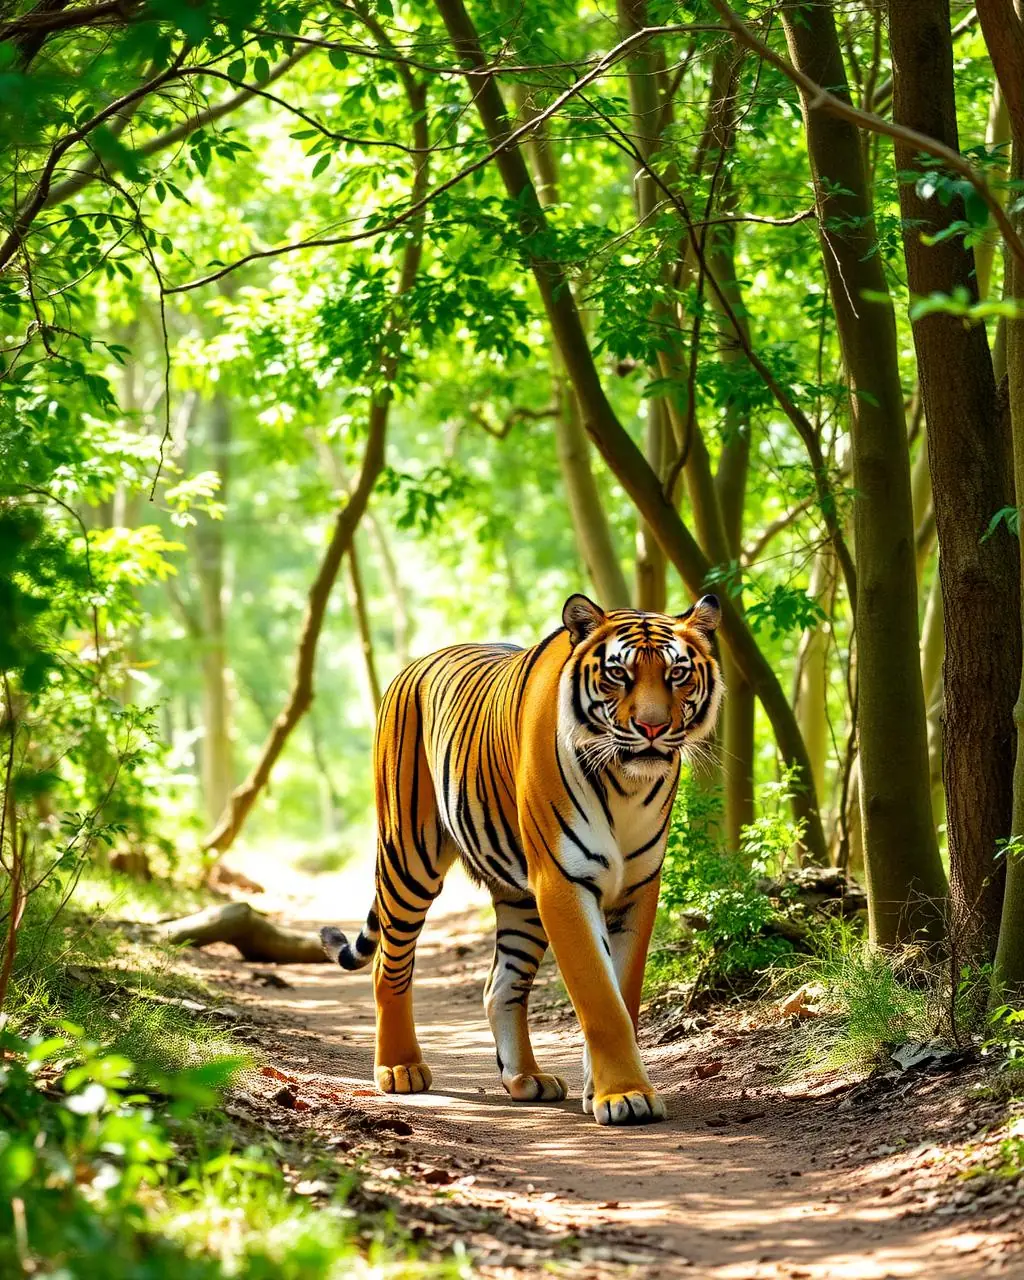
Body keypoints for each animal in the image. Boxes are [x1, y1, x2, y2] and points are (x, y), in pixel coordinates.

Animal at [321, 592, 723, 1126]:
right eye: (618, 674)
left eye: (678, 674)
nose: (653, 727)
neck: (626, 783)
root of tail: (413, 666)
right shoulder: (563, 880)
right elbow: (600, 998)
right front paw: (624, 1095)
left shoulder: (638, 887)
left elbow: (625, 994)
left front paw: (601, 1089)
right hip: (409, 858)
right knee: (388, 964)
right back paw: (400, 1068)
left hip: (519, 897)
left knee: (500, 984)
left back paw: (526, 1077)